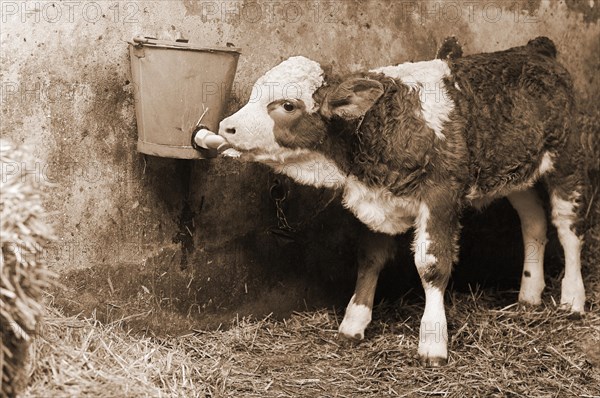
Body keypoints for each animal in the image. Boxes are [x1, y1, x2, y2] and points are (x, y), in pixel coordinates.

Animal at [217, 38, 584, 366]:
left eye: (288, 105)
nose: (226, 126)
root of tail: (535, 49)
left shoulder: (440, 196)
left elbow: (432, 266)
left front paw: (433, 341)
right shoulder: (377, 198)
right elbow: (370, 257)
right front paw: (354, 322)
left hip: (567, 159)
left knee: (569, 229)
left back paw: (572, 299)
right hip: (515, 173)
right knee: (534, 222)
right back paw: (530, 295)